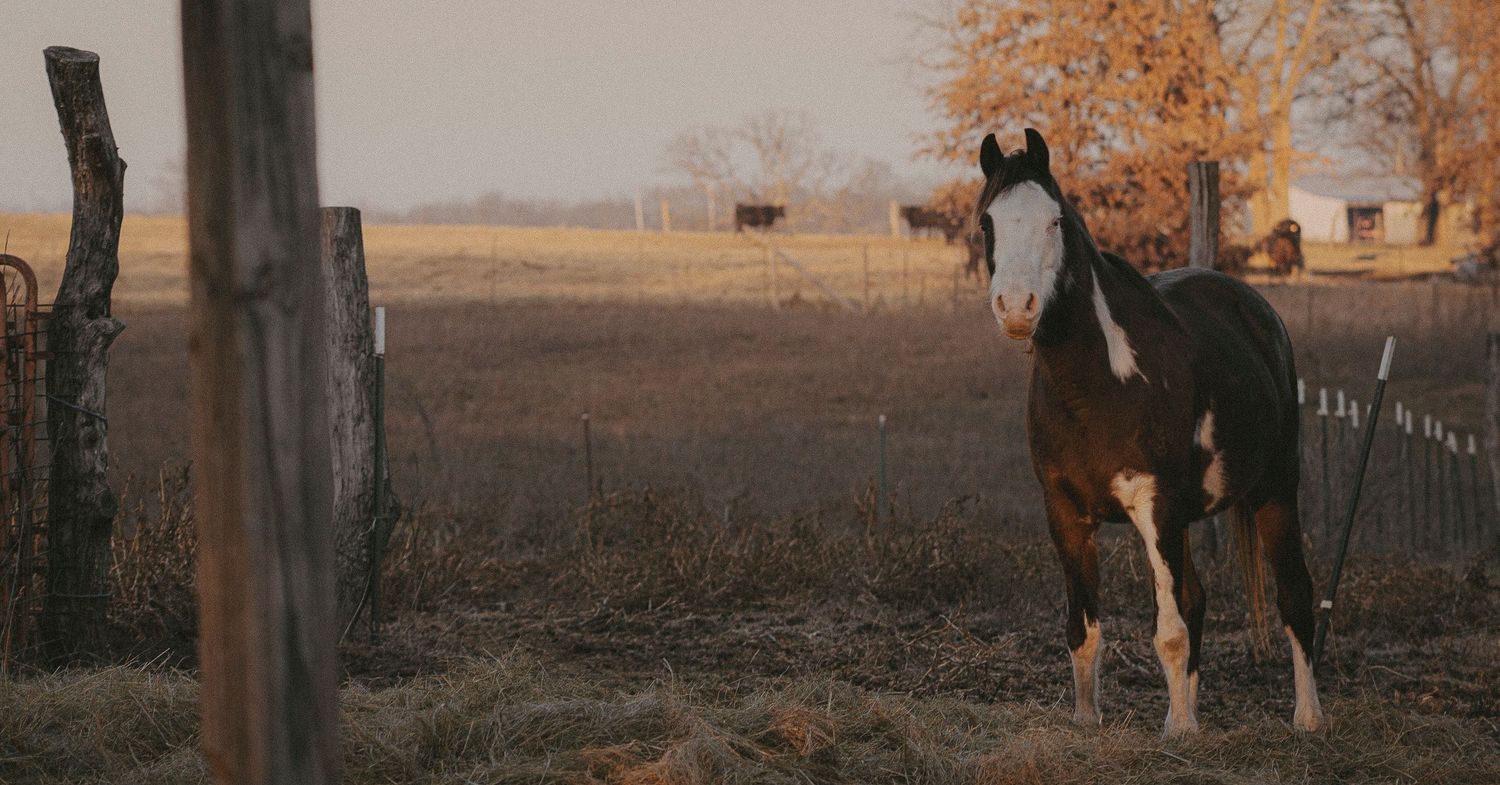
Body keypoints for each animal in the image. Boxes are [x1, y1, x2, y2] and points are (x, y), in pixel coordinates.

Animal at [974, 129, 1324, 736]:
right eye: (987, 223)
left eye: (1054, 221)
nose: (1016, 307)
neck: (1094, 386)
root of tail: (1254, 307)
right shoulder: (1065, 514)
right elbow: (1083, 631)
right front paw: (1091, 722)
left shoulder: (1154, 506)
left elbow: (1169, 631)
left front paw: (1180, 733)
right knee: (1197, 597)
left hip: (1275, 490)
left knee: (1293, 595)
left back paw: (1308, 718)